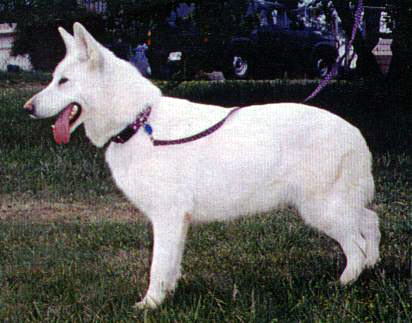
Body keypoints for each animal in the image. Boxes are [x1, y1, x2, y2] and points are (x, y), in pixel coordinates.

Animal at [24, 22, 382, 308]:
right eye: (53, 79)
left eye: (63, 81)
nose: (28, 108)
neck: (139, 121)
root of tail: (355, 133)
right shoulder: (176, 222)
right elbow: (170, 265)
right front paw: (167, 296)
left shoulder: (167, 217)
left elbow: (157, 266)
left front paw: (149, 305)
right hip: (334, 206)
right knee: (370, 222)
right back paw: (372, 267)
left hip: (320, 210)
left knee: (355, 245)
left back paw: (344, 283)